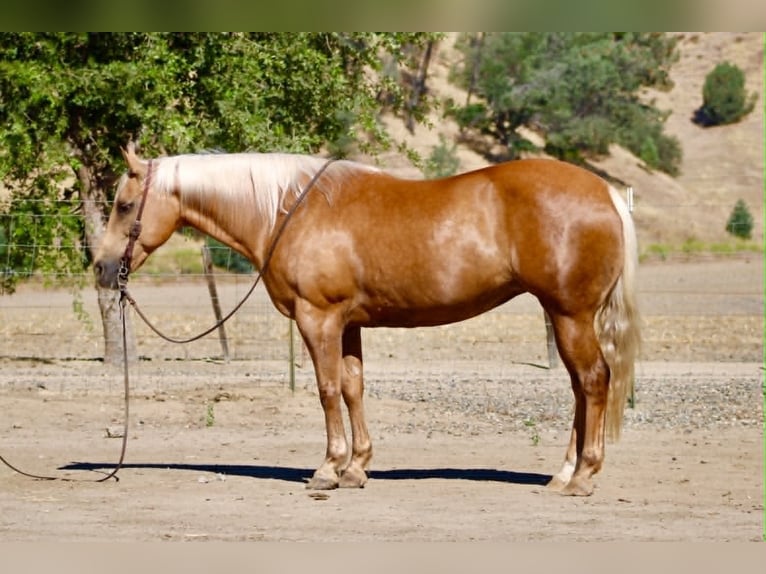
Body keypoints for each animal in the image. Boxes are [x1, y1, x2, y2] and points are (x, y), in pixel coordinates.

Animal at [94, 142, 640, 496]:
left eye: (123, 205)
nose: (100, 268)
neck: (288, 210)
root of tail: (606, 193)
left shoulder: (318, 319)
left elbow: (326, 390)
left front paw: (328, 468)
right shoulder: (348, 324)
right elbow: (353, 387)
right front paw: (357, 468)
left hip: (570, 315)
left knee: (593, 382)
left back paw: (582, 476)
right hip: (565, 316)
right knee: (581, 388)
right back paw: (564, 472)